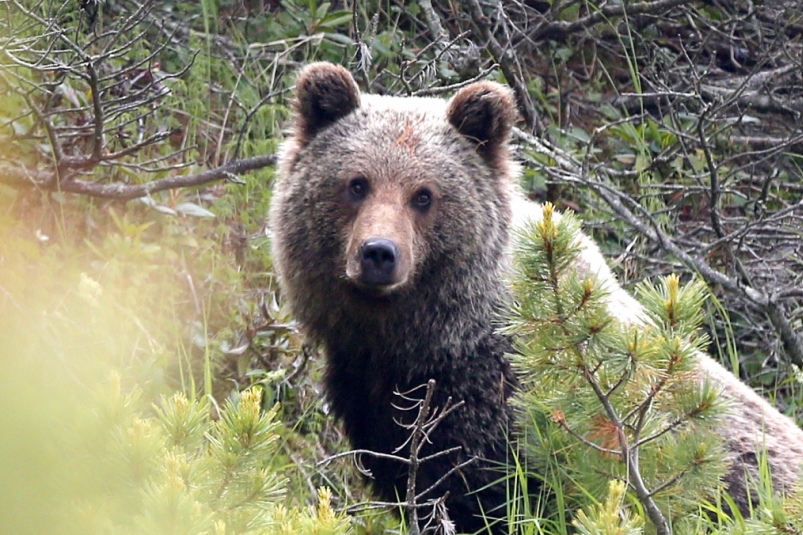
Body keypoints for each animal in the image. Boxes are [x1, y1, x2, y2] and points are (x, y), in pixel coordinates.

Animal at [270, 61, 803, 532]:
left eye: (423, 194)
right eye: (356, 183)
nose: (379, 253)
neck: (422, 340)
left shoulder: (507, 418)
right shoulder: (373, 400)